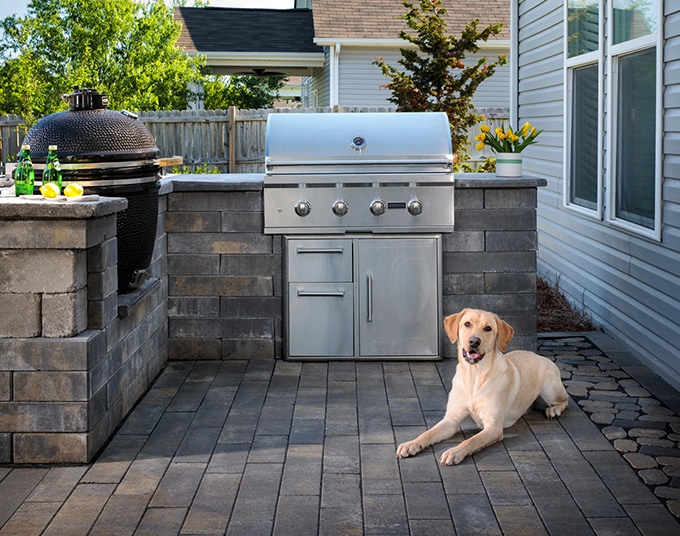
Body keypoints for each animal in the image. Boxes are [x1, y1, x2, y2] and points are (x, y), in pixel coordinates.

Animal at [396, 310, 572, 464]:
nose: (474, 341)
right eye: (467, 324)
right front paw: (411, 443)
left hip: (550, 389)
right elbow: (428, 433)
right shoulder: (451, 419)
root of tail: (539, 355)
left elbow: (471, 441)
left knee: (565, 400)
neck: (474, 376)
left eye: (488, 328)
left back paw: (553, 410)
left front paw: (454, 452)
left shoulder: (493, 427)